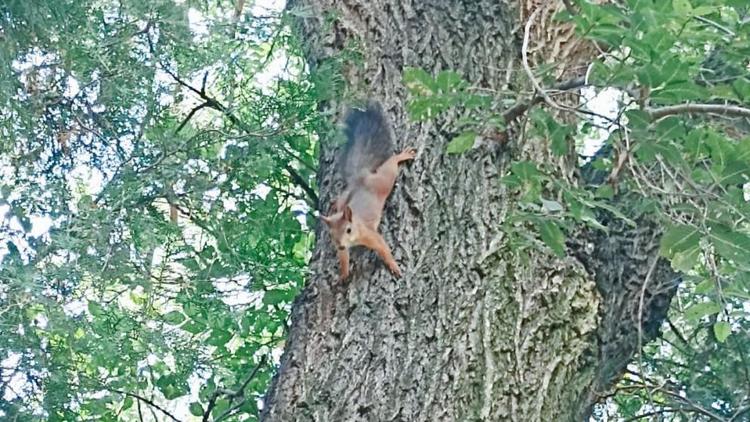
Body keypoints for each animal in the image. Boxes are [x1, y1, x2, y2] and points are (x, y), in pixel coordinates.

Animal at [320, 102, 418, 280]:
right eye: (331, 234)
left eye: (348, 229)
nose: (341, 245)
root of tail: (361, 176)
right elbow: (343, 259)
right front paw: (343, 274)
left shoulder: (370, 235)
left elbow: (383, 248)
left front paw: (394, 266)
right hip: (347, 195)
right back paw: (335, 203)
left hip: (383, 181)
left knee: (391, 166)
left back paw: (401, 156)